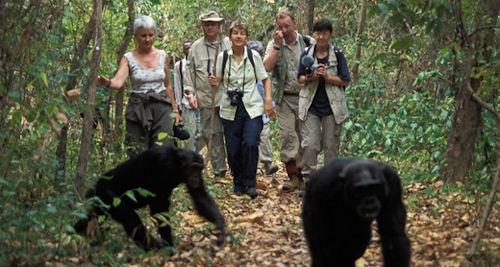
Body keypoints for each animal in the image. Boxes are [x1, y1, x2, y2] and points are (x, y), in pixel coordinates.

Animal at [72, 147, 225, 251]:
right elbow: (159, 207)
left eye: (199, 169)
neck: (177, 164)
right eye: (193, 167)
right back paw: (152, 246)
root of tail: (94, 186)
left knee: (92, 217)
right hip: (106, 194)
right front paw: (170, 247)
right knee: (128, 215)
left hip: (100, 202)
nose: (196, 176)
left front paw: (220, 229)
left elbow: (200, 195)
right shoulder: (165, 165)